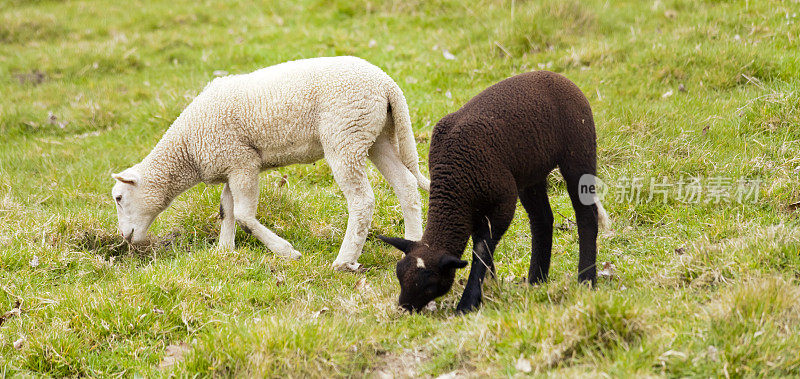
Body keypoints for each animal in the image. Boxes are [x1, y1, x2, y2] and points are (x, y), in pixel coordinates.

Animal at [111, 55, 432, 270]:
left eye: (118, 197)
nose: (125, 238)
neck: (187, 148)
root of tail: (387, 84)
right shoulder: (232, 164)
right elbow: (226, 209)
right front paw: (224, 251)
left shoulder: (242, 162)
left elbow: (243, 215)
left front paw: (286, 252)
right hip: (376, 135)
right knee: (406, 185)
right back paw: (411, 247)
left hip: (345, 135)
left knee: (362, 200)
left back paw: (344, 261)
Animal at [378, 70, 608, 314]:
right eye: (399, 275)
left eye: (430, 284)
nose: (404, 308)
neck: (454, 181)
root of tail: (557, 77)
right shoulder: (475, 208)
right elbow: (481, 246)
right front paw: (489, 285)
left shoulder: (502, 203)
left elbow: (482, 249)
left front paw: (468, 302)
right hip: (530, 173)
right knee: (542, 219)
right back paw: (536, 280)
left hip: (578, 150)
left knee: (586, 216)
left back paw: (586, 280)